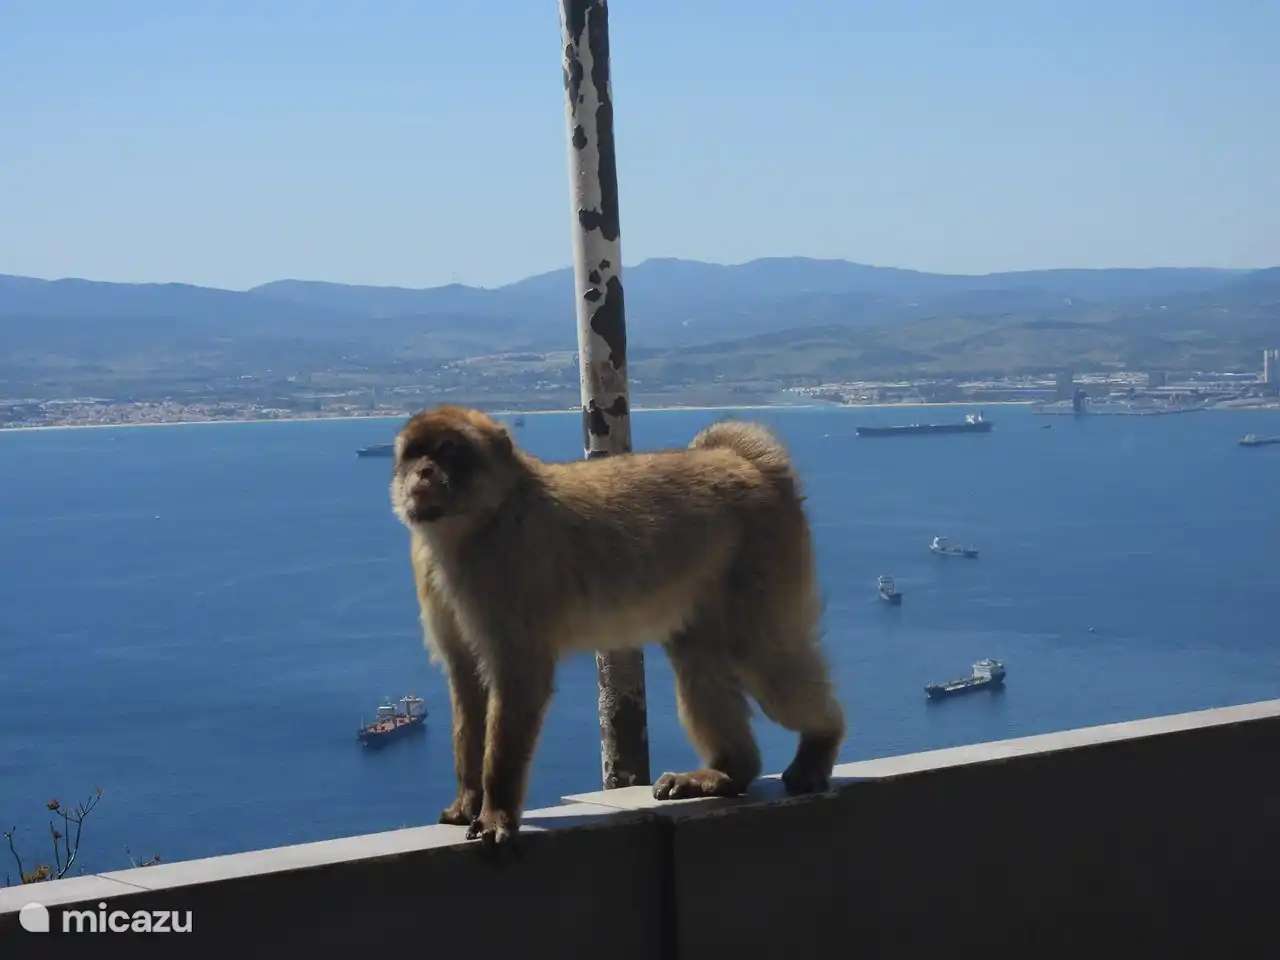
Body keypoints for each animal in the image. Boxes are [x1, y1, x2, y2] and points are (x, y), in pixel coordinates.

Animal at [389, 405, 846, 846]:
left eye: (448, 451)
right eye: (414, 453)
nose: (423, 472)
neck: (474, 524)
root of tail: (749, 463)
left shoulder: (505, 570)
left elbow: (518, 676)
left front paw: (495, 809)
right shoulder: (434, 574)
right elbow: (466, 677)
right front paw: (467, 799)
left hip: (762, 554)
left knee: (764, 657)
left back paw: (820, 741)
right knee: (699, 657)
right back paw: (729, 771)